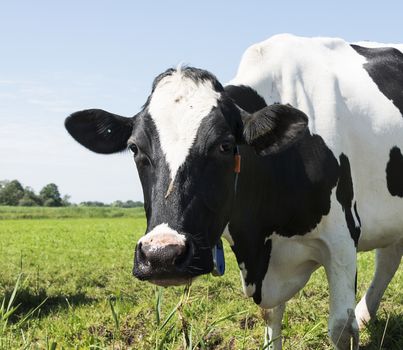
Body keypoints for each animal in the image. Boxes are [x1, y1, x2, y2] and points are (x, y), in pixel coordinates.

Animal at [64, 33, 402, 350]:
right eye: (135, 148)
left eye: (225, 145)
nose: (162, 255)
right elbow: (270, 317)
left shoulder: (341, 239)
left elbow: (341, 330)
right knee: (389, 257)